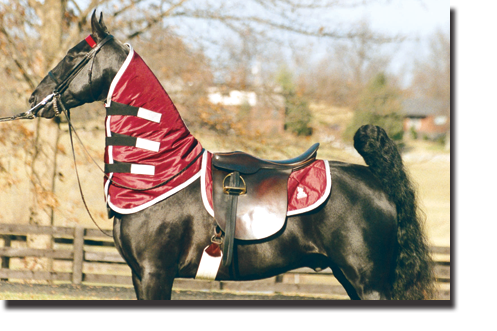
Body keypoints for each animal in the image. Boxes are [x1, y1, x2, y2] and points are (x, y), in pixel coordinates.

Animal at [28, 11, 434, 300]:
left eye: (73, 56)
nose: (35, 99)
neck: (162, 175)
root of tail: (376, 180)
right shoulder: (140, 275)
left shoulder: (155, 272)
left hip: (368, 284)